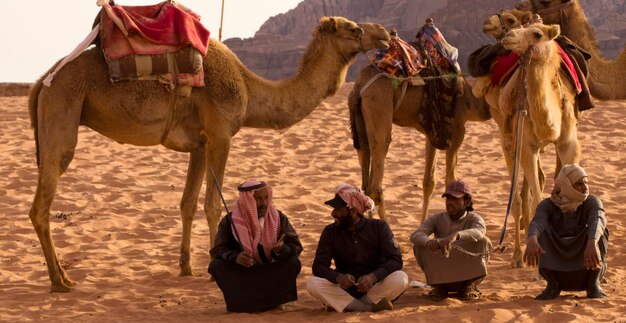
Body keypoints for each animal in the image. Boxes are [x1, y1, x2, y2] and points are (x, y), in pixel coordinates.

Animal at [28, 16, 390, 292]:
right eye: (354, 29)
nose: (386, 34)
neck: (249, 89)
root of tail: (42, 80)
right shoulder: (220, 135)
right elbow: (214, 205)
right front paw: (215, 267)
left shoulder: (199, 145)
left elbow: (187, 204)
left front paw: (185, 267)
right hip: (63, 111)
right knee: (41, 206)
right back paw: (60, 281)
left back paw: (61, 276)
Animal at [348, 66, 490, 223]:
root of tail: (358, 88)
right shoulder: (457, 130)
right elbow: (451, 181)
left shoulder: (433, 133)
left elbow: (429, 181)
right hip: (379, 108)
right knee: (375, 185)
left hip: (360, 128)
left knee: (365, 185)